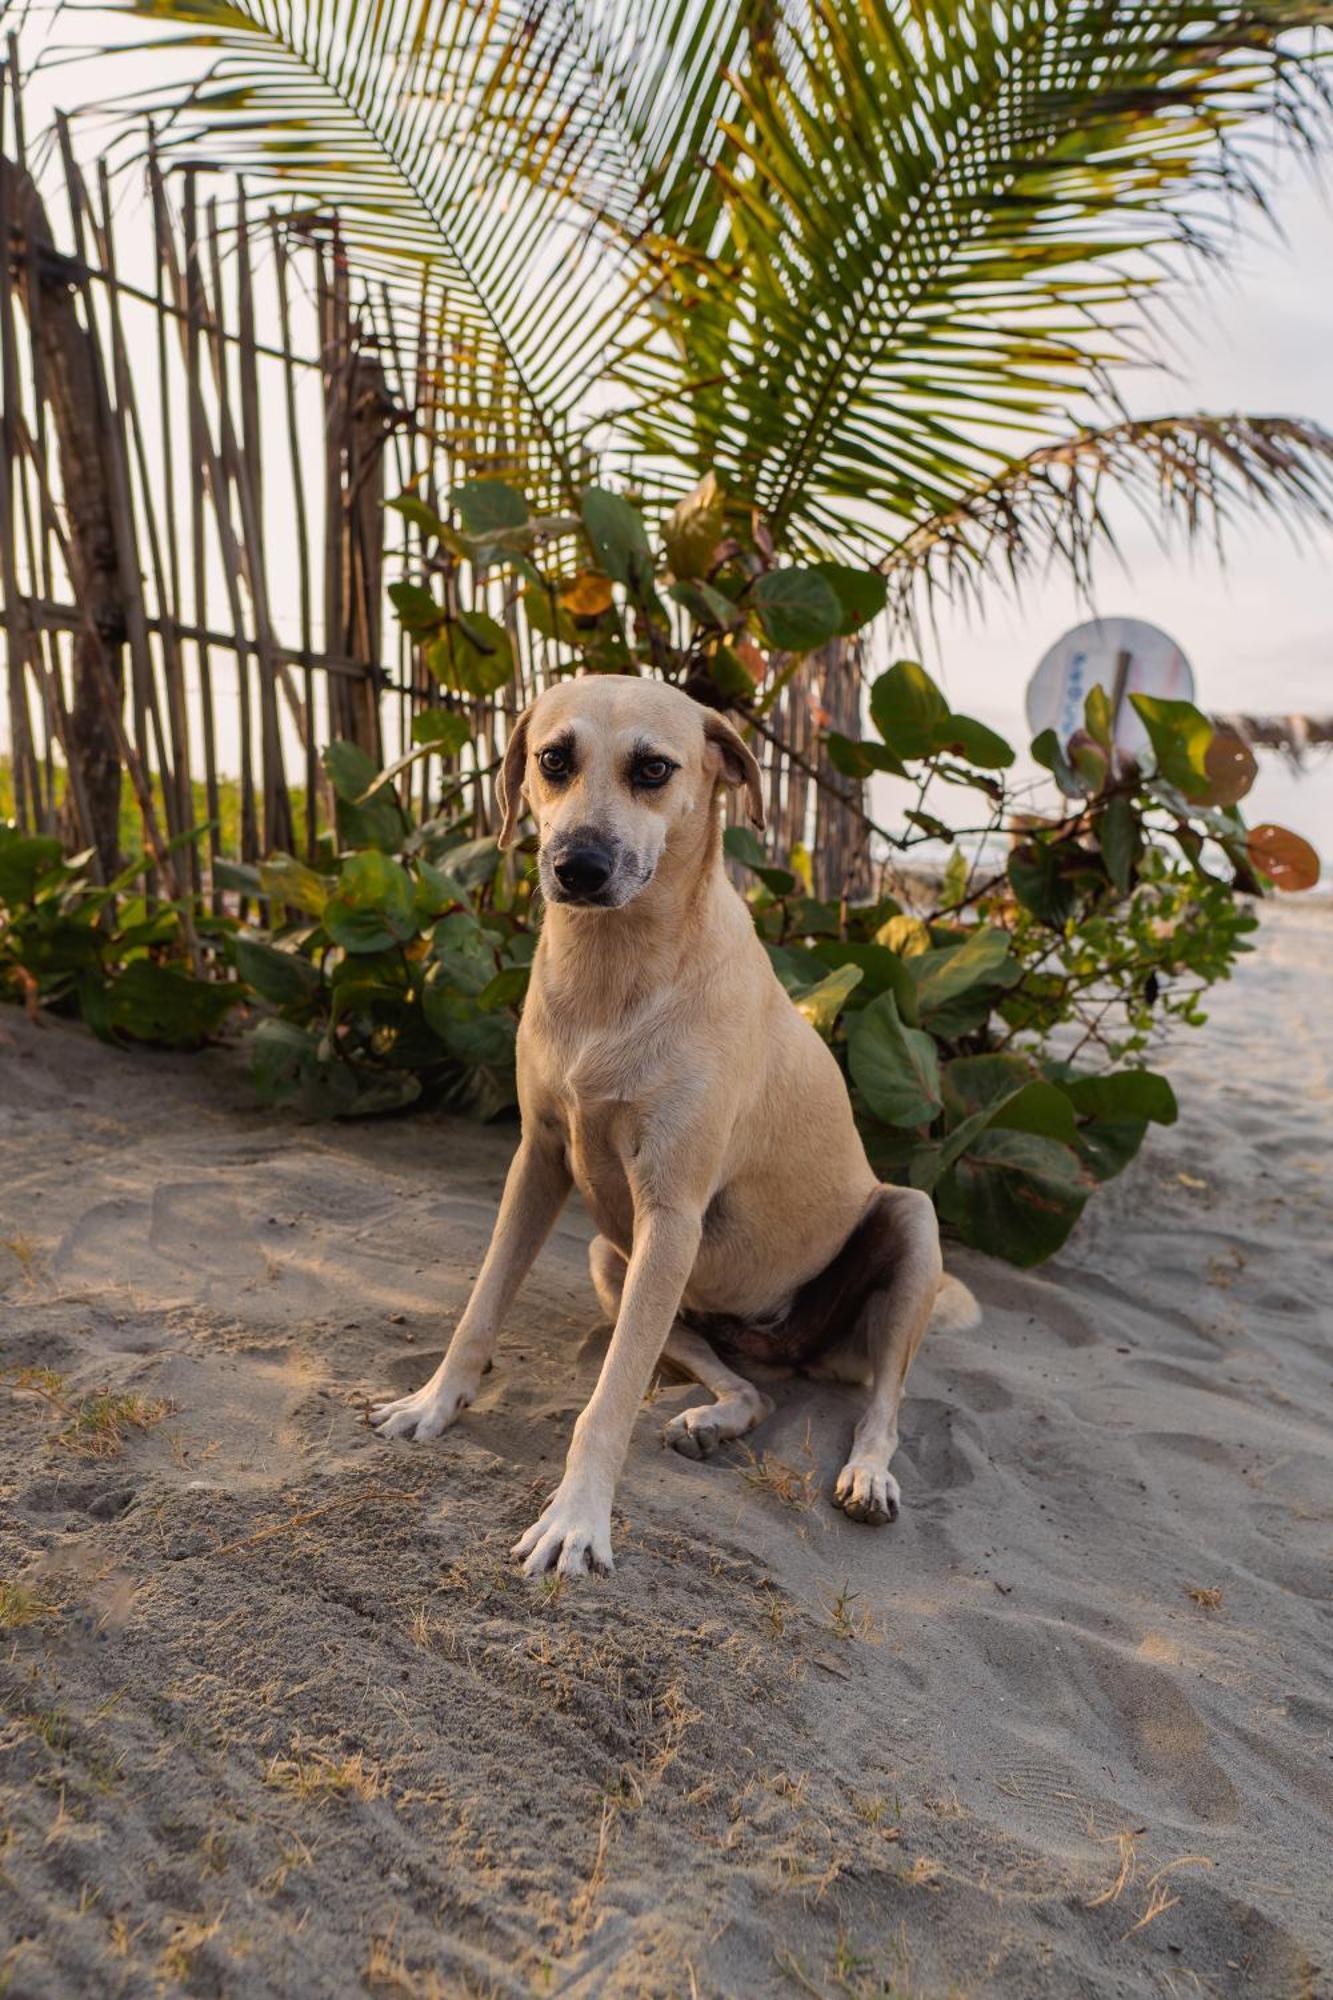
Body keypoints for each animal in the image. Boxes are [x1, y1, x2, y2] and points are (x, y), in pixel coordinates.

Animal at [368, 676, 972, 1576]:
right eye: (553, 759)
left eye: (653, 769)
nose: (576, 868)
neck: (611, 972)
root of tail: (780, 1343)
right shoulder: (538, 1163)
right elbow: (480, 1306)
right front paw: (436, 1402)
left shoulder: (671, 1213)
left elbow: (609, 1397)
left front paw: (576, 1519)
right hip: (614, 1264)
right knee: (750, 1390)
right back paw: (711, 1419)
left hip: (907, 1222)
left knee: (882, 1407)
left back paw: (865, 1474)